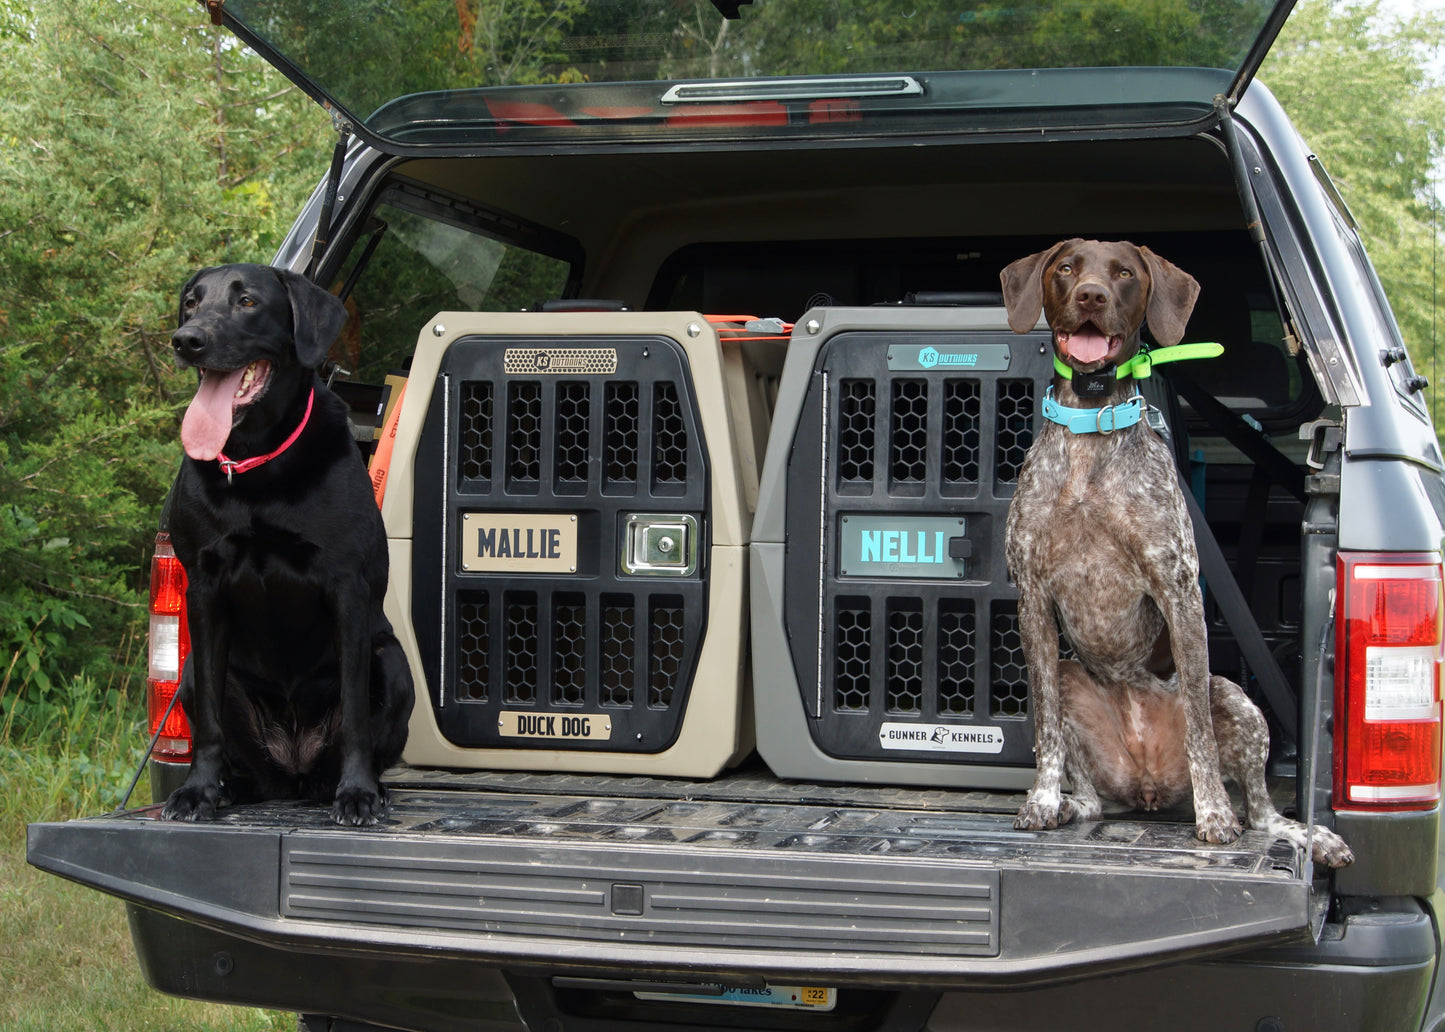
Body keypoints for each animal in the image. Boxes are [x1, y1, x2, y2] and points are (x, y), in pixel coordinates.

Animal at [163, 263, 413, 820]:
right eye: (191, 302)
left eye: (248, 302)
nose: (187, 340)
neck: (257, 463)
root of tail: (295, 771)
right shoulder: (204, 590)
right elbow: (208, 722)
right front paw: (198, 789)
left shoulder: (347, 588)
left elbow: (356, 717)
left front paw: (358, 793)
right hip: (190, 672)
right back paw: (233, 787)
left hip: (392, 663)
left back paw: (366, 786)